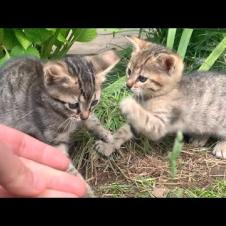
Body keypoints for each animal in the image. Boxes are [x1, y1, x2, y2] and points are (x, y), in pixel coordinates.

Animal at [96, 36, 226, 159]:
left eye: (142, 78)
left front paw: (128, 103)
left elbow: (143, 117)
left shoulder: (161, 124)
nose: (128, 85)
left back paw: (221, 147)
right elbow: (123, 130)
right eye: (129, 71)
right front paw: (108, 145)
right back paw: (200, 137)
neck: (151, 97)